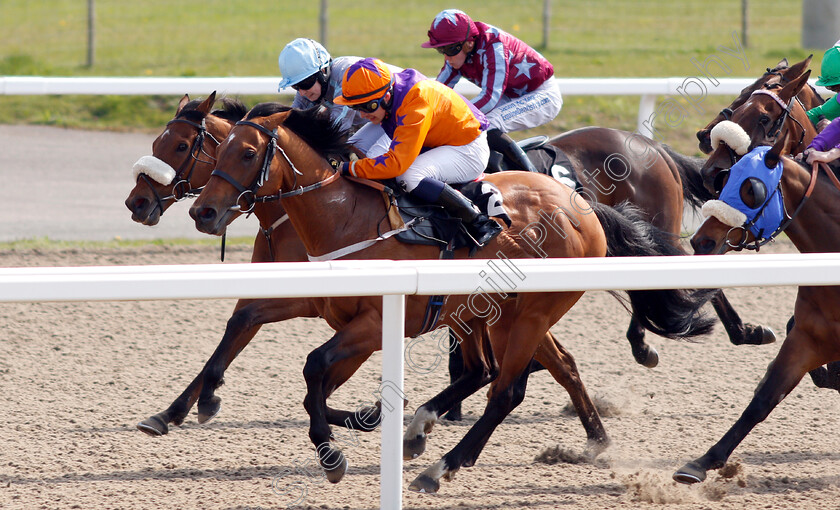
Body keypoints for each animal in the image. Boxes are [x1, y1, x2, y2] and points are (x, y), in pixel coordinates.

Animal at [190, 103, 716, 490]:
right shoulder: (346, 321)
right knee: (512, 370)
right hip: (497, 313)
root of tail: (581, 205)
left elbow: (314, 366)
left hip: (527, 313)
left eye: (247, 152)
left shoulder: (376, 324)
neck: (345, 218)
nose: (203, 212)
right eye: (217, 151)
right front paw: (358, 426)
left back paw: (439, 467)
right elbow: (309, 377)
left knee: (505, 390)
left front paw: (331, 453)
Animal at [672, 130, 840, 482]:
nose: (701, 241)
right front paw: (702, 462)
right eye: (724, 181)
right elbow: (764, 398)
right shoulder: (807, 338)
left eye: (752, 189)